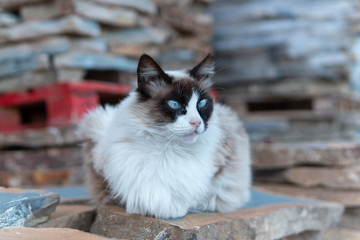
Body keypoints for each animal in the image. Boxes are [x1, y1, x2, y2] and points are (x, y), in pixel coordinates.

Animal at [78, 53, 250, 218]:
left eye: (201, 104)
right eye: (174, 104)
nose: (196, 122)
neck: (167, 147)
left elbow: (202, 195)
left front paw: (175, 209)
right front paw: (141, 209)